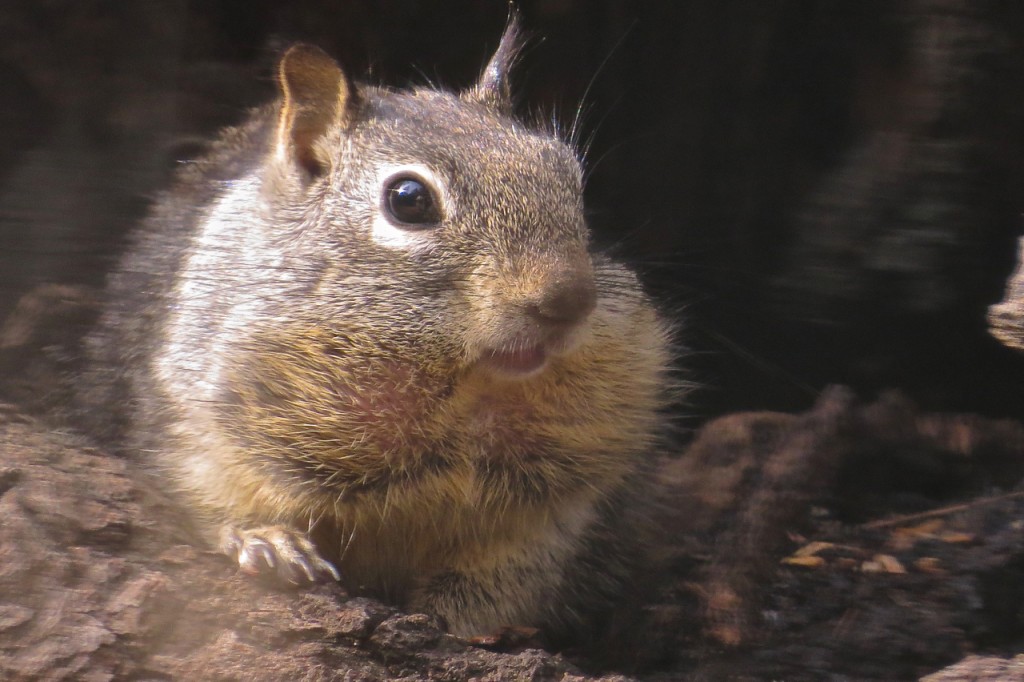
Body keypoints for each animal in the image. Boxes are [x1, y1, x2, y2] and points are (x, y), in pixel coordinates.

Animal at [83, 18, 675, 634]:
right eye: (408, 200)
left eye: (570, 179)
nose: (568, 300)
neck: (466, 391)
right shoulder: (199, 420)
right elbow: (214, 494)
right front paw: (265, 539)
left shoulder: (561, 501)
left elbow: (508, 573)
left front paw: (466, 621)